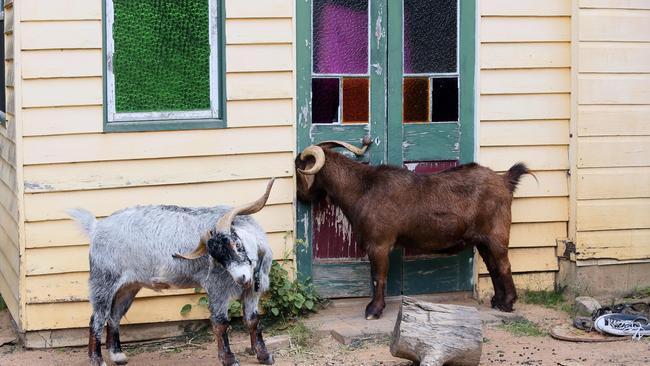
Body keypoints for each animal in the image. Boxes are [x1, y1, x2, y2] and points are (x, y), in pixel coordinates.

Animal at [69, 179, 276, 364]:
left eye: (237, 244)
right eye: (218, 259)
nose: (242, 278)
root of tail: (96, 228)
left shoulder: (252, 291)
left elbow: (252, 320)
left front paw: (264, 356)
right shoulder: (217, 288)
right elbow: (220, 323)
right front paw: (229, 359)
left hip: (128, 286)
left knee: (114, 316)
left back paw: (117, 355)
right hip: (103, 279)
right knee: (96, 319)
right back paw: (97, 360)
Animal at [294, 139, 532, 318]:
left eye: (300, 169)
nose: (301, 196)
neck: (363, 188)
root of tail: (505, 181)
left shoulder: (379, 244)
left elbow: (378, 275)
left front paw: (373, 310)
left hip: (496, 234)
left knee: (503, 265)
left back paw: (508, 303)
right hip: (482, 240)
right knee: (492, 266)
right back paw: (497, 301)